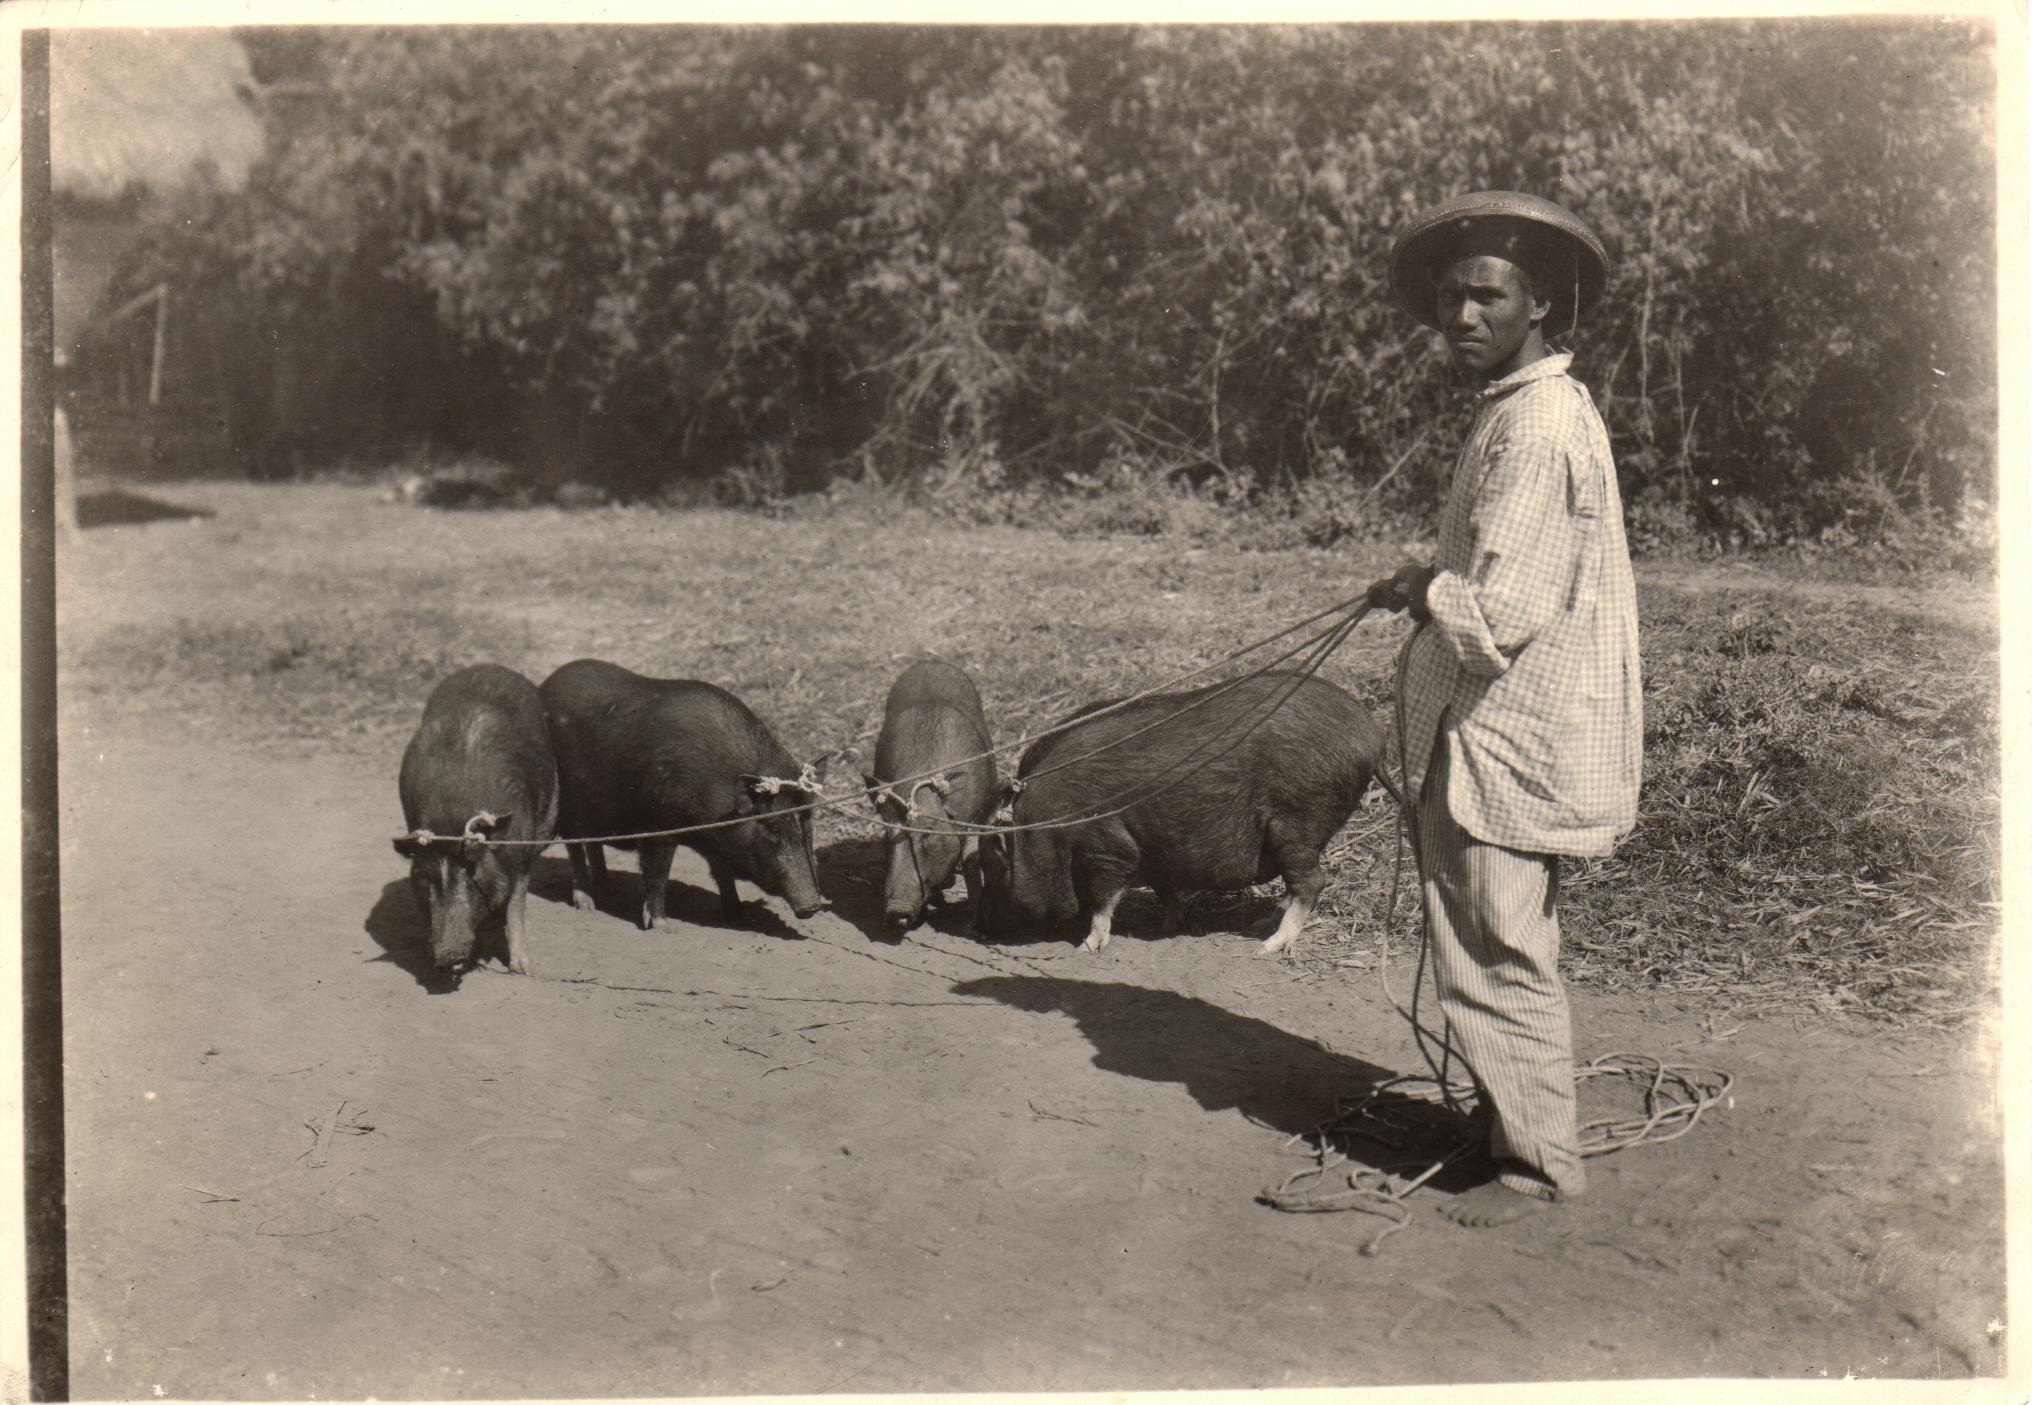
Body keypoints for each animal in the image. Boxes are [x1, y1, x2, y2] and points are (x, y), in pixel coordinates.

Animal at [393, 663, 560, 976]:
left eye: (471, 871)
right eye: (425, 877)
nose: (448, 955)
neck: (450, 816)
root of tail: (487, 666)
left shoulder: (522, 844)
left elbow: (516, 901)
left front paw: (522, 969)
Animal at [538, 658, 831, 929]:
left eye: (808, 823)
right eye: (771, 827)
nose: (812, 906)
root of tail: (545, 685)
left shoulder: (717, 837)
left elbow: (722, 873)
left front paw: (738, 913)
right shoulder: (657, 826)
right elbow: (658, 874)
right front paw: (661, 926)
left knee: (593, 843)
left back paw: (607, 886)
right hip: (566, 804)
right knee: (575, 847)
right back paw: (587, 905)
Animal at [862, 658, 999, 930]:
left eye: (927, 833)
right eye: (888, 836)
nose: (895, 911)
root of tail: (930, 661)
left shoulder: (975, 815)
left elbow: (971, 860)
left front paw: (974, 927)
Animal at [975, 670, 1398, 956]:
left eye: (996, 872)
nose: (979, 931)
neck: (1045, 831)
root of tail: (1372, 738)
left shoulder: (1109, 846)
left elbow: (1103, 898)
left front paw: (1088, 946)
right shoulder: (1155, 849)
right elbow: (1164, 887)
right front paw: (1167, 923)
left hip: (1296, 821)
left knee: (1312, 881)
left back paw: (1266, 945)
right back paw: (1262, 923)